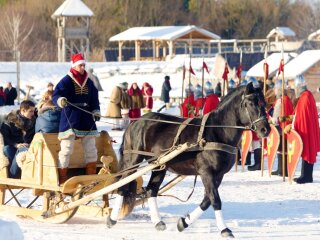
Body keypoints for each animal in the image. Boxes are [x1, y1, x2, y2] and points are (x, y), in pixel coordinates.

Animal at [107, 83, 270, 238]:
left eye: (263, 103)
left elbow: (207, 200)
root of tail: (135, 122)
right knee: (123, 186)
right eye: (251, 103)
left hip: (159, 165)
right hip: (133, 160)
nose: (265, 130)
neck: (217, 132)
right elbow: (215, 200)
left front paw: (183, 223)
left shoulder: (219, 174)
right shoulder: (206, 172)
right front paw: (224, 229)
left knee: (151, 190)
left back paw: (158, 222)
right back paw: (112, 219)